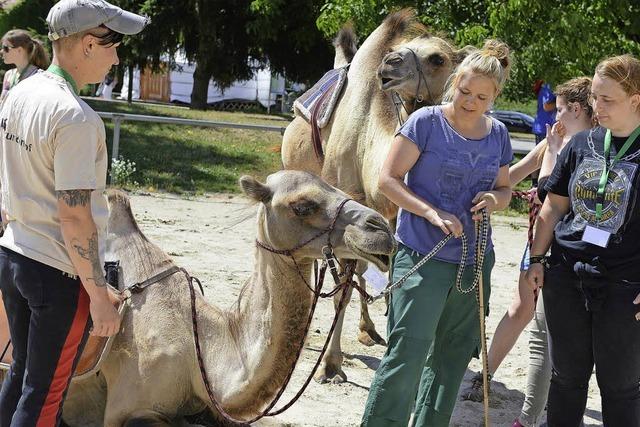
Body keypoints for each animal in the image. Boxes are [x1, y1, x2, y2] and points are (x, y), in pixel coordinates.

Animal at [282, 9, 472, 384]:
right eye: (400, 49)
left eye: (438, 58)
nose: (390, 63)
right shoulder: (342, 207)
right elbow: (342, 287)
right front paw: (331, 365)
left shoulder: (391, 216)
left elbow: (391, 274)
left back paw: (368, 330)